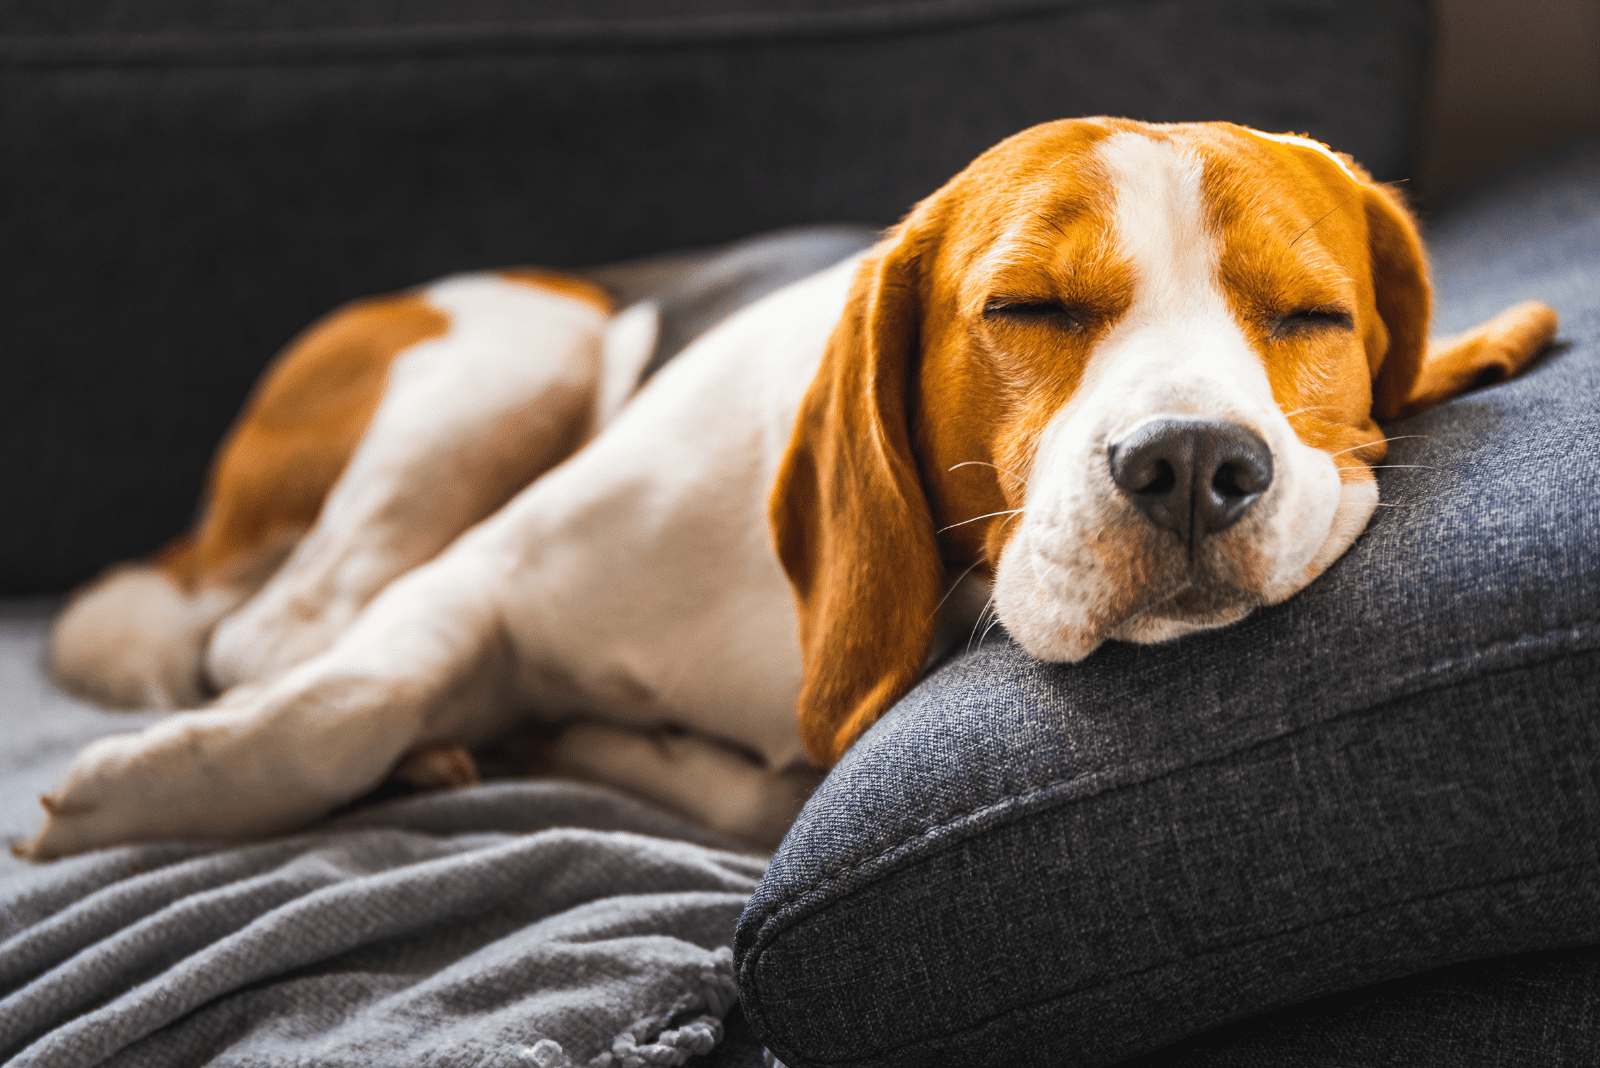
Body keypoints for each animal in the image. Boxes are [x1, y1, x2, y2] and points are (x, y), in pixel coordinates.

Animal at [18, 120, 1555, 863]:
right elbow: (341, 701)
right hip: (515, 351)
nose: (1189, 466)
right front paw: (142, 797)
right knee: (272, 633)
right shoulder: (480, 581)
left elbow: (761, 798)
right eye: (1029, 306)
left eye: (1309, 317)